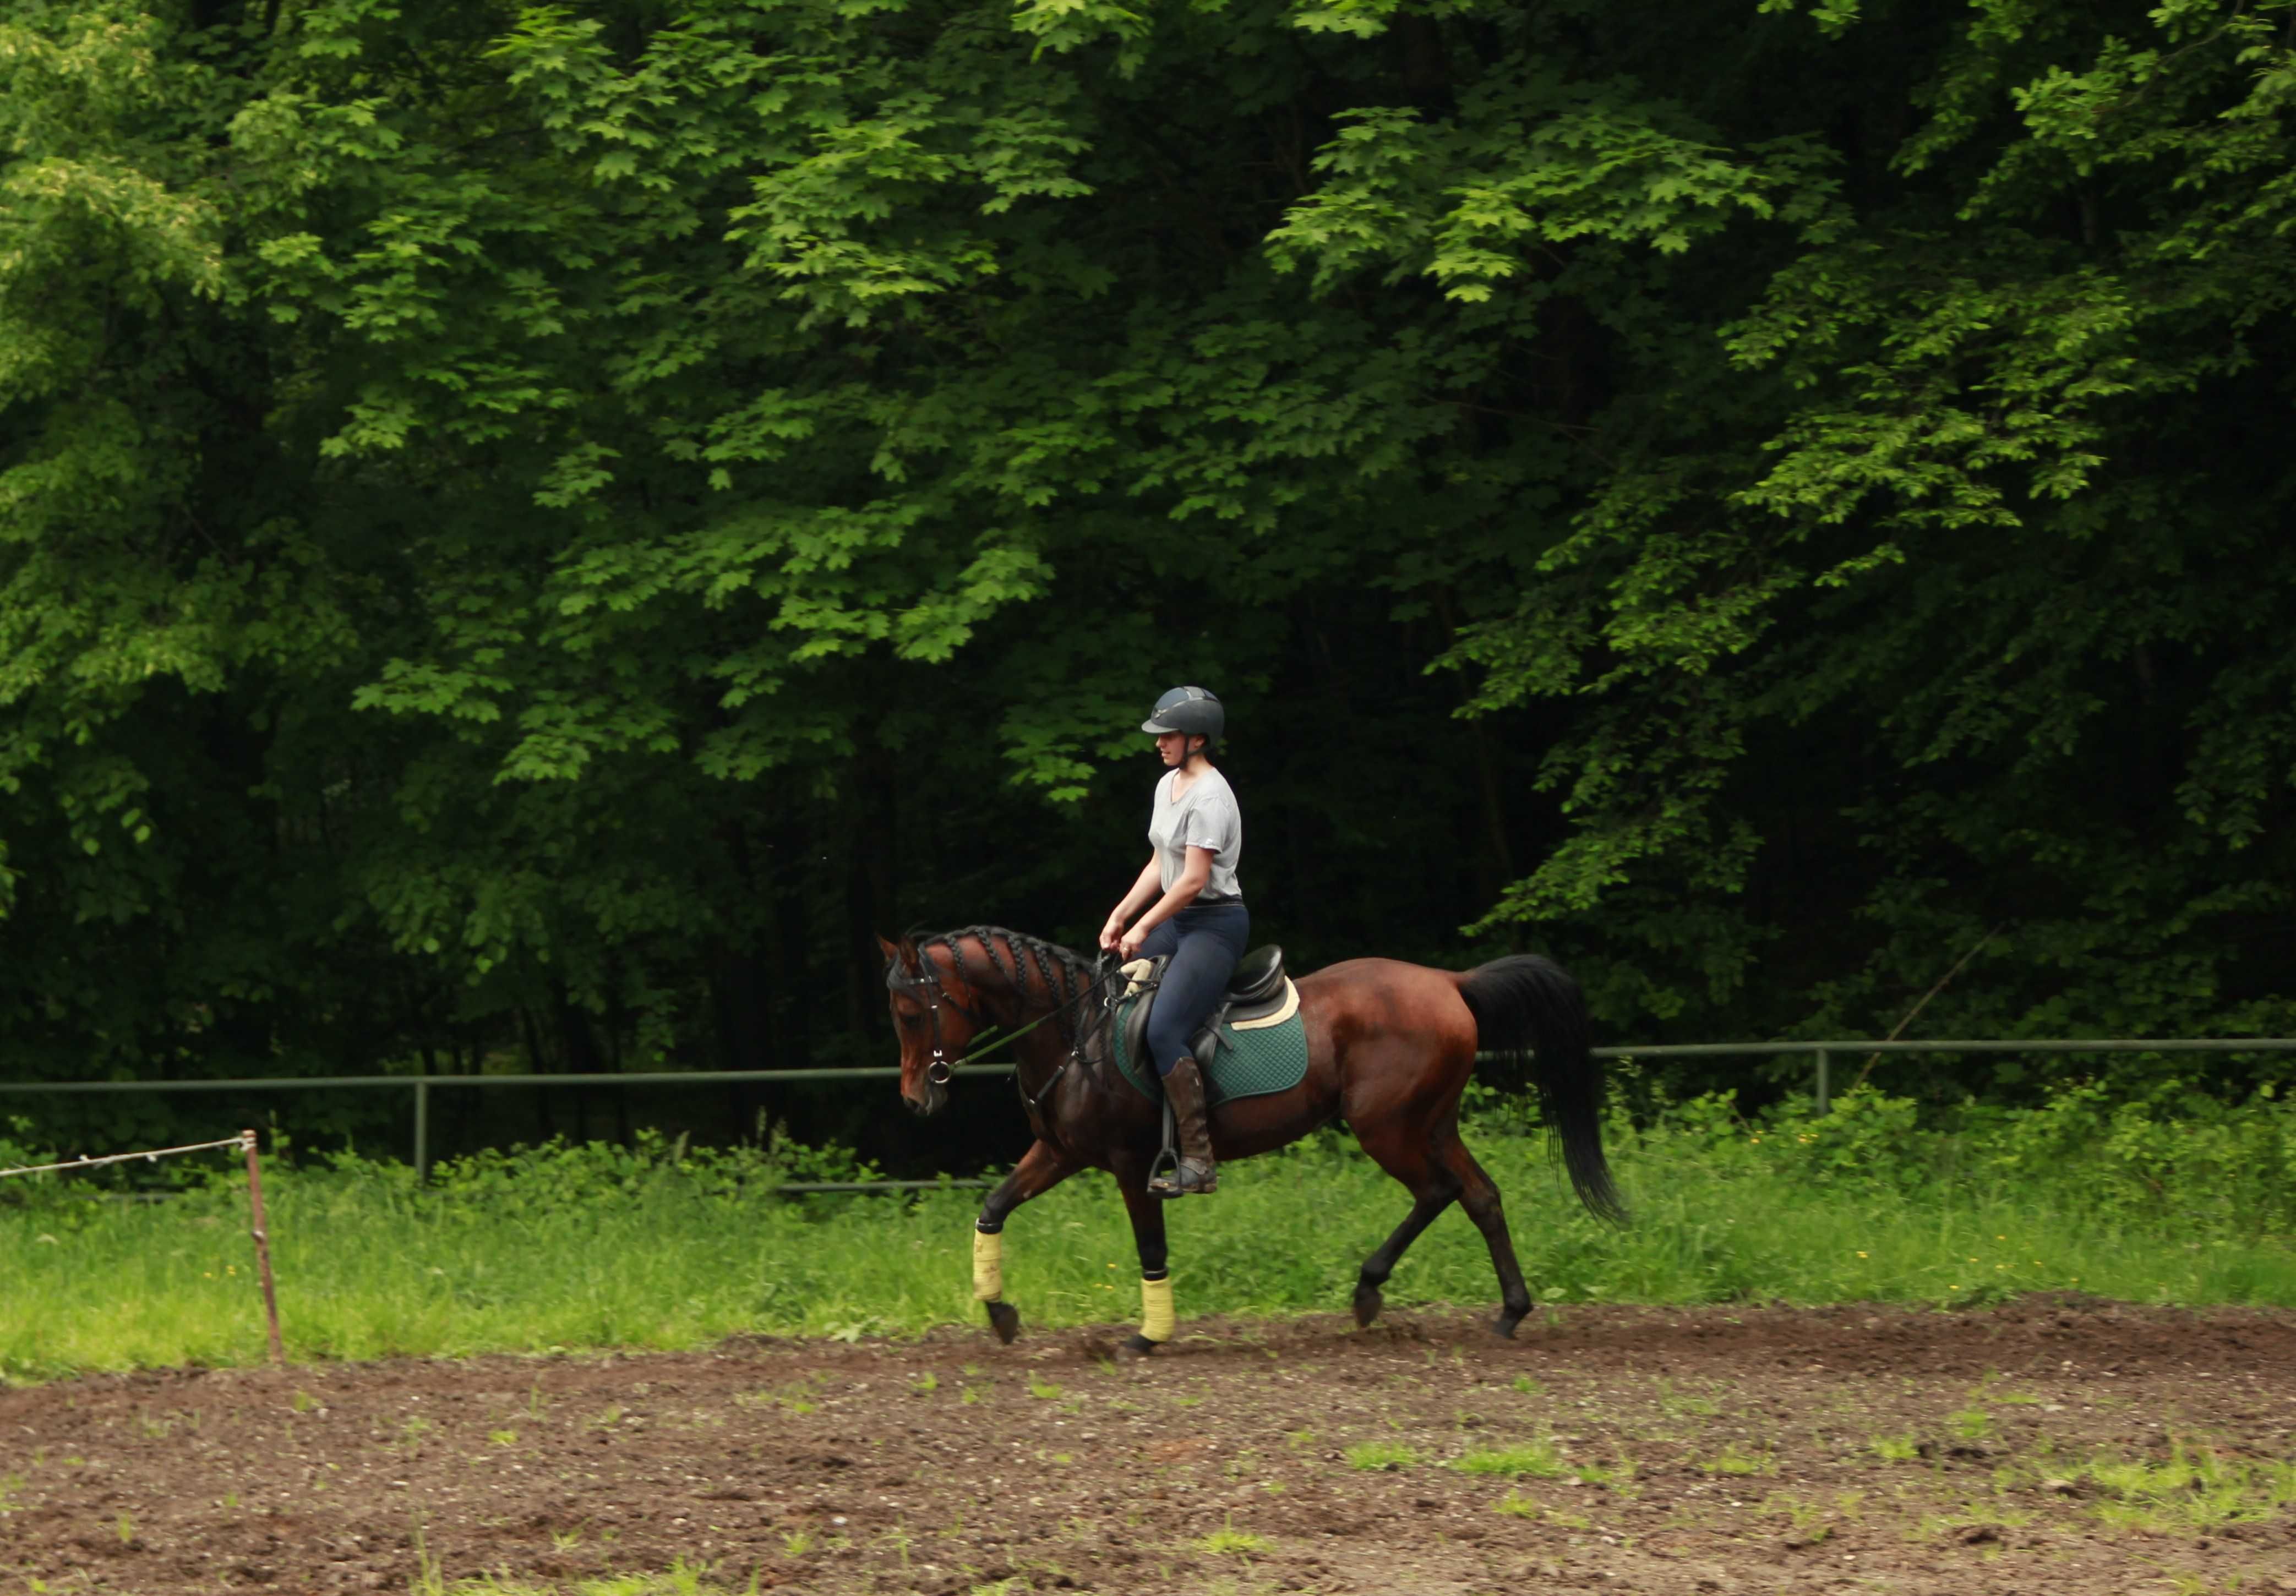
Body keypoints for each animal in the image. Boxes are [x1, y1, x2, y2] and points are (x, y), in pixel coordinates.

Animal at [872, 932, 1616, 1350]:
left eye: (910, 1011)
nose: (913, 1097)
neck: (1076, 1031)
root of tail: (1450, 982)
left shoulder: (1128, 1164)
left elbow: (1150, 1247)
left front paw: (1149, 1334)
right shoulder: (1060, 1153)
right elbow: (993, 1207)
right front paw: (999, 1313)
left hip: (1388, 1127)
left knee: (1440, 1190)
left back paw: (1371, 1289)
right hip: (1430, 1122)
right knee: (1479, 1196)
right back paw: (1507, 1312)